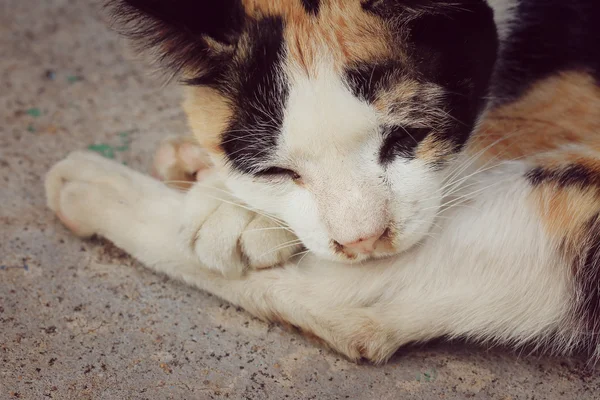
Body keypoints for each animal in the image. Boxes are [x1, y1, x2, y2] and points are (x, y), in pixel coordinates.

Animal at [44, 0, 600, 362]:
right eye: (276, 169)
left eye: (407, 136)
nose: (363, 240)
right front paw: (216, 174)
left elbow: (517, 123)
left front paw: (231, 207)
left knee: (345, 301)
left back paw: (92, 186)